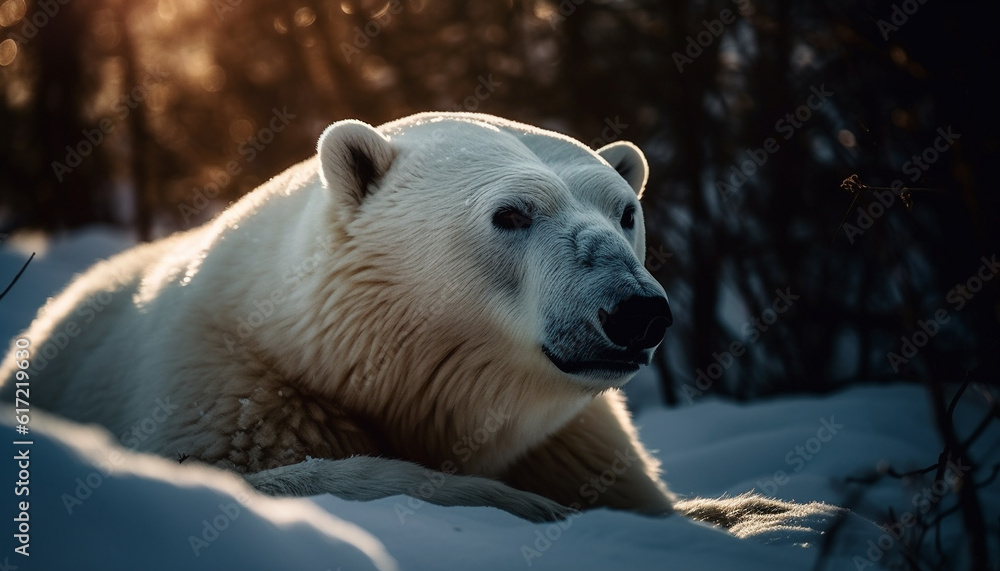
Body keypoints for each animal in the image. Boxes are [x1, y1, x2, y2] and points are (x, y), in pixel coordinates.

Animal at [0, 113, 832, 536]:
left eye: (626, 211)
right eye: (512, 213)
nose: (635, 310)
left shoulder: (574, 441)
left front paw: (769, 512)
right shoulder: (232, 395)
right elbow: (276, 476)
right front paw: (520, 504)